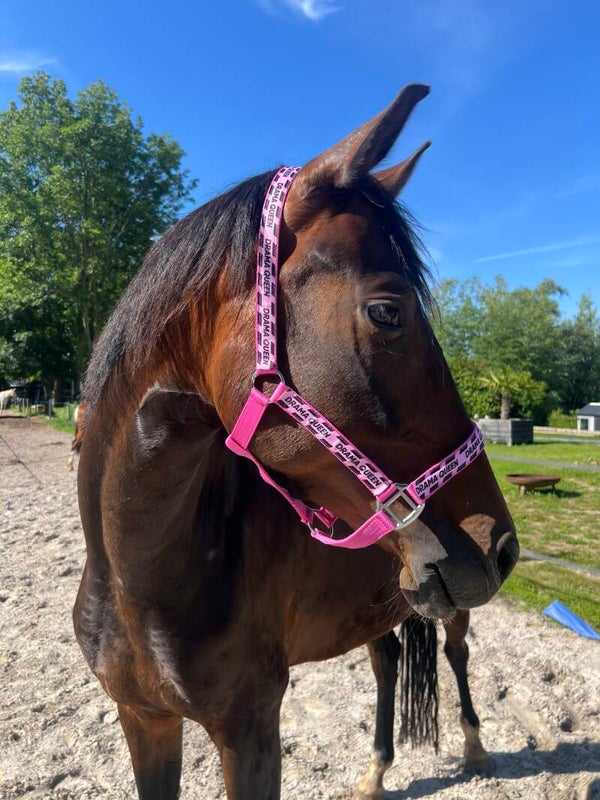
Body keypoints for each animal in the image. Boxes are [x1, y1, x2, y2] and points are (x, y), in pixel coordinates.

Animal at [74, 84, 519, 800]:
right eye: (387, 312)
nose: (500, 545)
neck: (140, 580)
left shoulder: (251, 730)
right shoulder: (143, 719)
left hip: (444, 610)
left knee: (455, 651)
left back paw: (475, 748)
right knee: (388, 659)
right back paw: (375, 771)